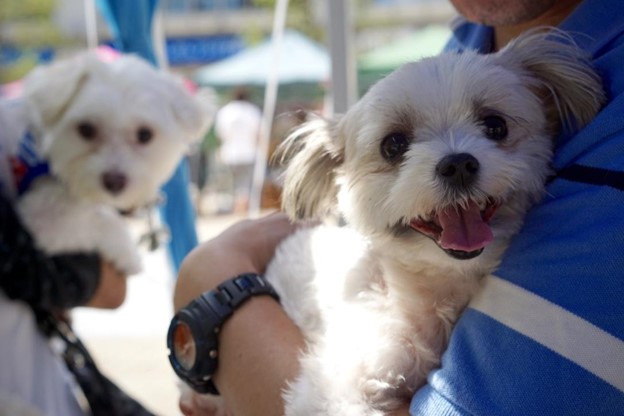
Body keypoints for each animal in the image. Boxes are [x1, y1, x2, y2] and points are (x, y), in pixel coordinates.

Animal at [3, 51, 212, 272]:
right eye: (86, 129)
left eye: (145, 134)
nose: (114, 182)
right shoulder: (43, 217)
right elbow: (100, 222)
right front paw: (127, 254)